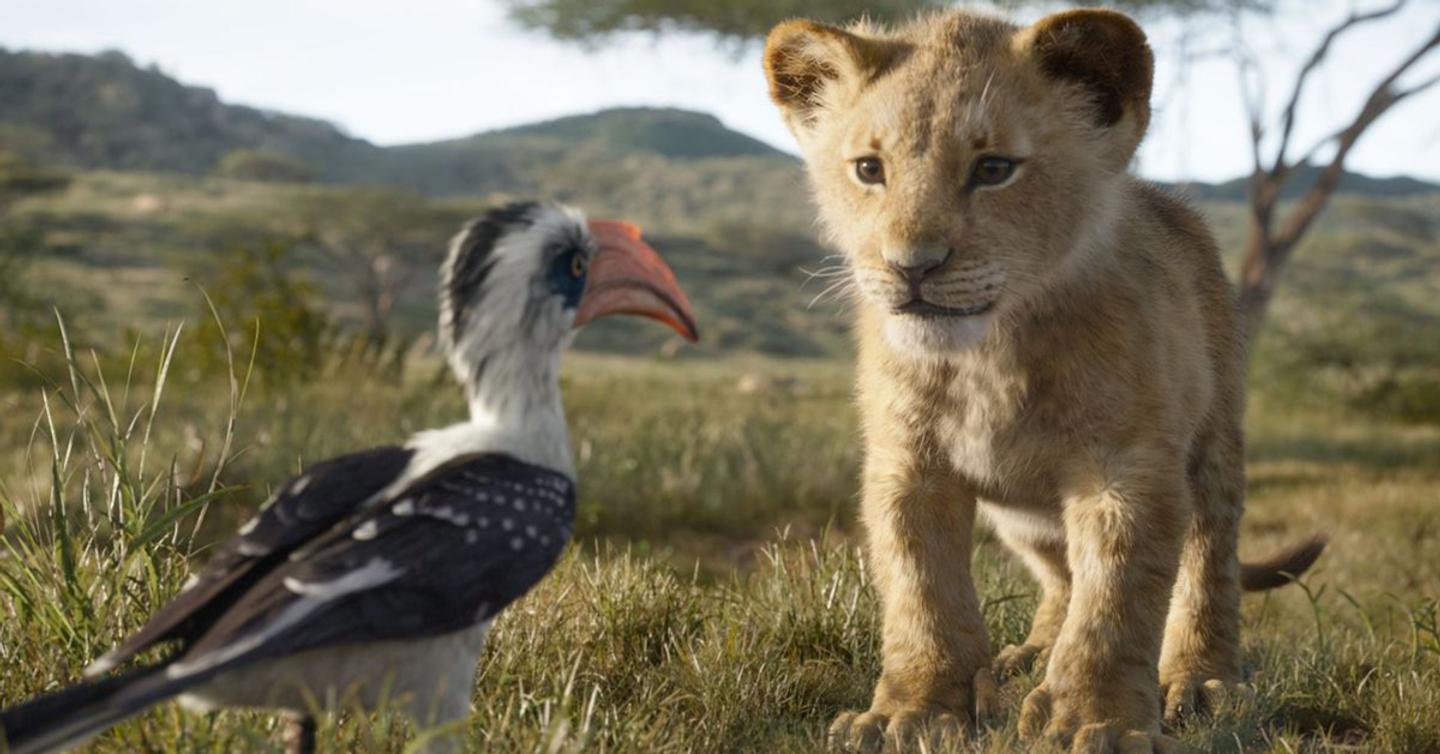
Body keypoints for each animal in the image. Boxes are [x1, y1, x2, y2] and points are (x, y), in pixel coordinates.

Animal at [762, 8, 1325, 753]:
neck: (989, 356)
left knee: (1207, 562)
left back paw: (1201, 682)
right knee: (1060, 575)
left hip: (1214, 444)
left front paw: (1097, 720)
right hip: (1020, 515)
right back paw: (1027, 657)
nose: (911, 266)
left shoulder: (1126, 468)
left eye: (994, 169)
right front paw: (912, 713)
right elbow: (921, 593)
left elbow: (1115, 600)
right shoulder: (908, 466)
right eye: (868, 169)